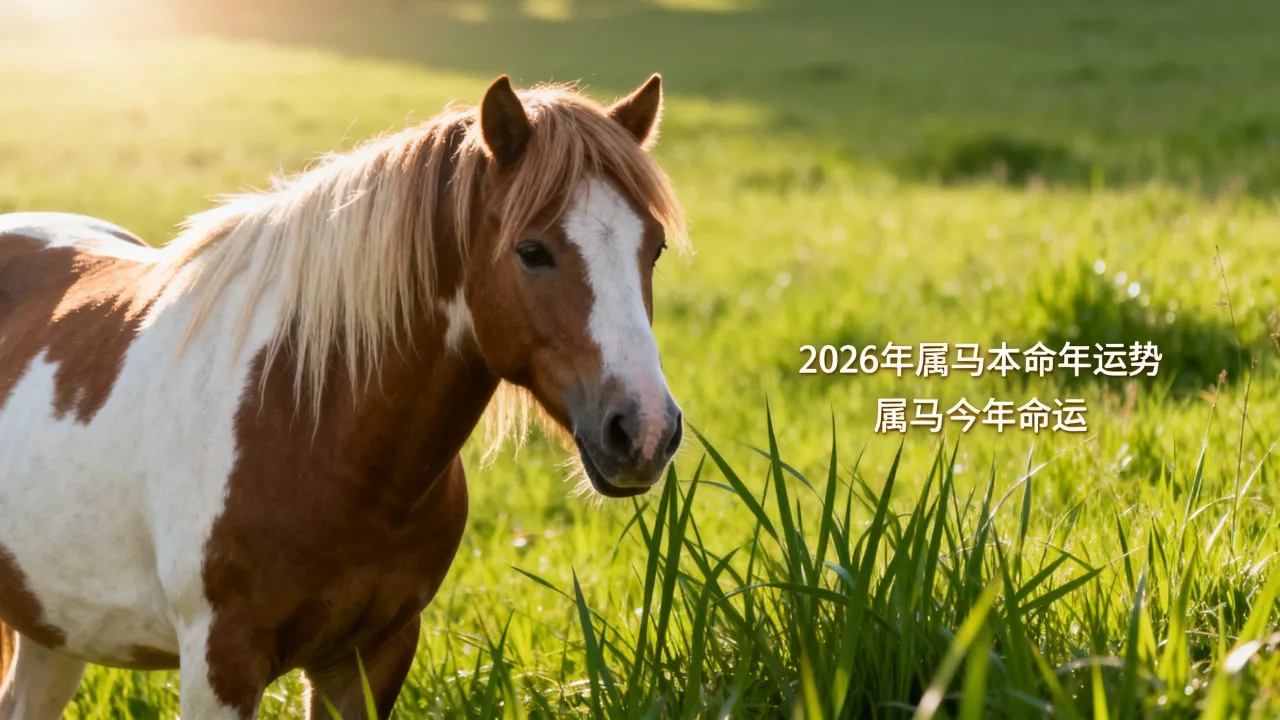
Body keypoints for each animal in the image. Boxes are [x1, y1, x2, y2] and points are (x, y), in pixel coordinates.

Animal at [0, 74, 689, 719]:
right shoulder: (222, 663)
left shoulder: (372, 654)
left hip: (53, 628)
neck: (312, 423)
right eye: (531, 251)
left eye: (653, 249)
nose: (646, 430)